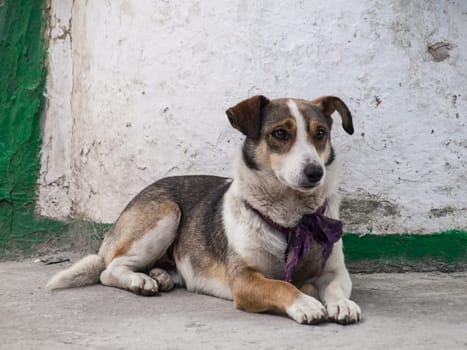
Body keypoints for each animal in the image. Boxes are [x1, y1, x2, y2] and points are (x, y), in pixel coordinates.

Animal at [47, 95, 362, 326]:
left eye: (320, 134)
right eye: (281, 133)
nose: (315, 172)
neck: (293, 220)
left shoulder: (334, 269)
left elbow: (335, 285)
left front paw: (340, 304)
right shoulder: (244, 280)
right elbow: (282, 287)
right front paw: (306, 302)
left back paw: (160, 276)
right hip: (166, 213)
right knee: (109, 270)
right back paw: (140, 280)